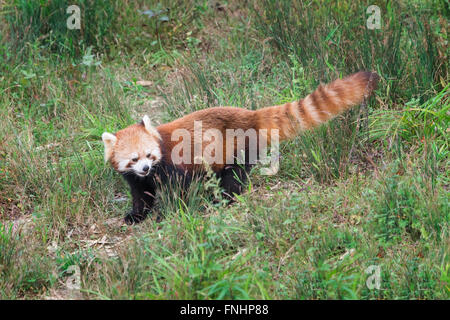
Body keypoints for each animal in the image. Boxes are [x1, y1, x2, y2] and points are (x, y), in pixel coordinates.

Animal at [103, 71, 380, 224]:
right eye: (133, 160)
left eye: (149, 155)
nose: (146, 168)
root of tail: (251, 115)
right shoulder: (136, 179)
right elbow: (142, 195)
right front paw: (136, 216)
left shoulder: (173, 164)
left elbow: (178, 191)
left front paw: (169, 213)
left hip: (238, 148)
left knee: (234, 177)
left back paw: (224, 199)